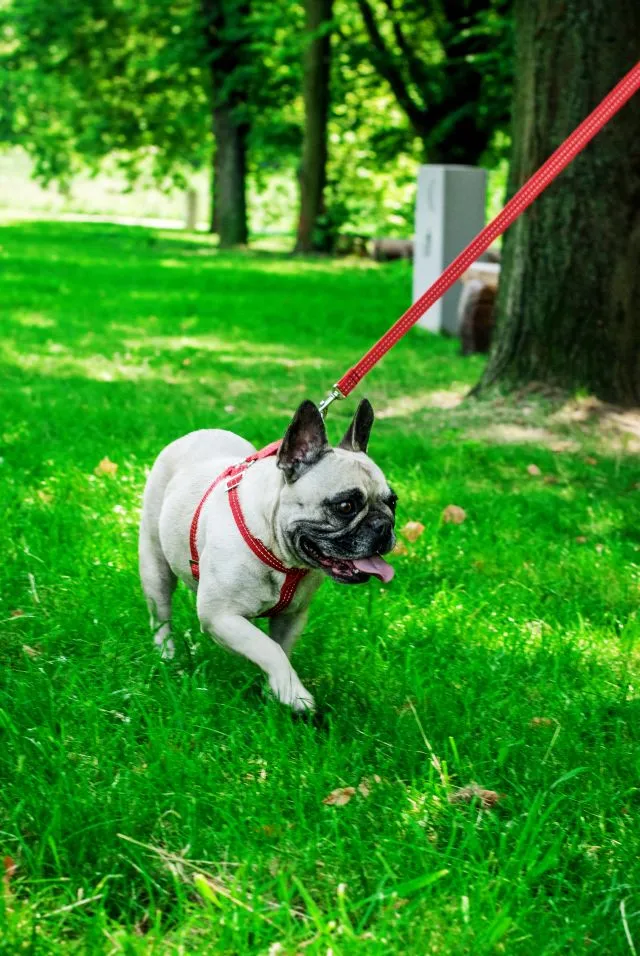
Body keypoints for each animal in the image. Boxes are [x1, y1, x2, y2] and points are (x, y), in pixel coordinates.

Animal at [141, 398, 398, 708]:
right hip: (155, 566)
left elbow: (280, 650)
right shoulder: (220, 616)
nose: (384, 525)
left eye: (393, 503)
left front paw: (278, 690)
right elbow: (268, 649)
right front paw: (296, 696)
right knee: (160, 615)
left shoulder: (292, 616)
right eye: (346, 506)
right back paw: (166, 656)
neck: (280, 555)